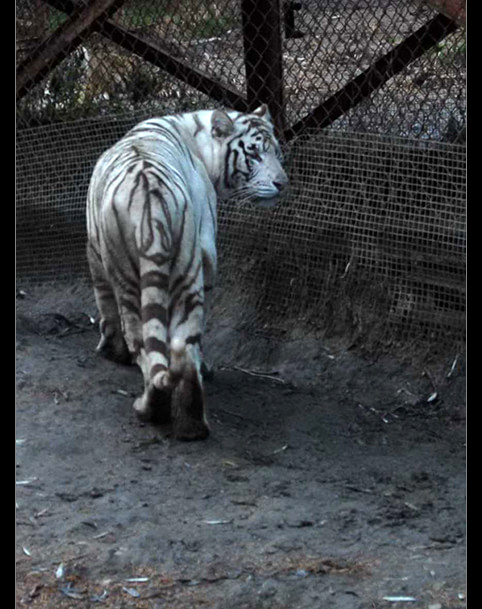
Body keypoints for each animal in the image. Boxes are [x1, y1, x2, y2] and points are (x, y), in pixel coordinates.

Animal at [85, 104, 288, 436]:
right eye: (255, 154)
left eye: (277, 153)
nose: (282, 184)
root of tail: (149, 198)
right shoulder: (208, 253)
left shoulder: (94, 254)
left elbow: (105, 308)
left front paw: (110, 351)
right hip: (186, 265)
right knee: (182, 346)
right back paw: (189, 422)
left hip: (135, 275)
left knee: (150, 341)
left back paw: (157, 410)